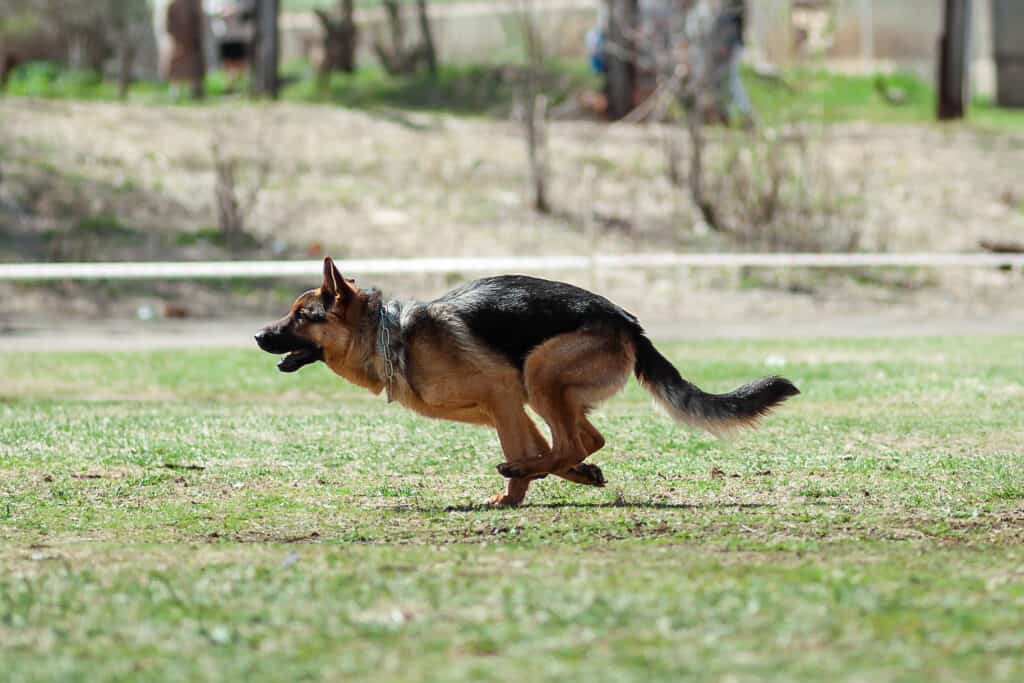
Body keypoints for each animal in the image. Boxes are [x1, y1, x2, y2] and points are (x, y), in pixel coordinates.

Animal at [256, 259, 798, 505]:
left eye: (302, 316)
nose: (259, 335)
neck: (392, 335)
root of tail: (627, 320)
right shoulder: (509, 408)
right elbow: (545, 448)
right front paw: (550, 481)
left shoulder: (502, 397)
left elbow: (528, 449)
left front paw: (513, 492)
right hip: (545, 391)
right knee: (584, 439)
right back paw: (571, 471)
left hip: (539, 374)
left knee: (572, 441)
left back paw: (528, 471)